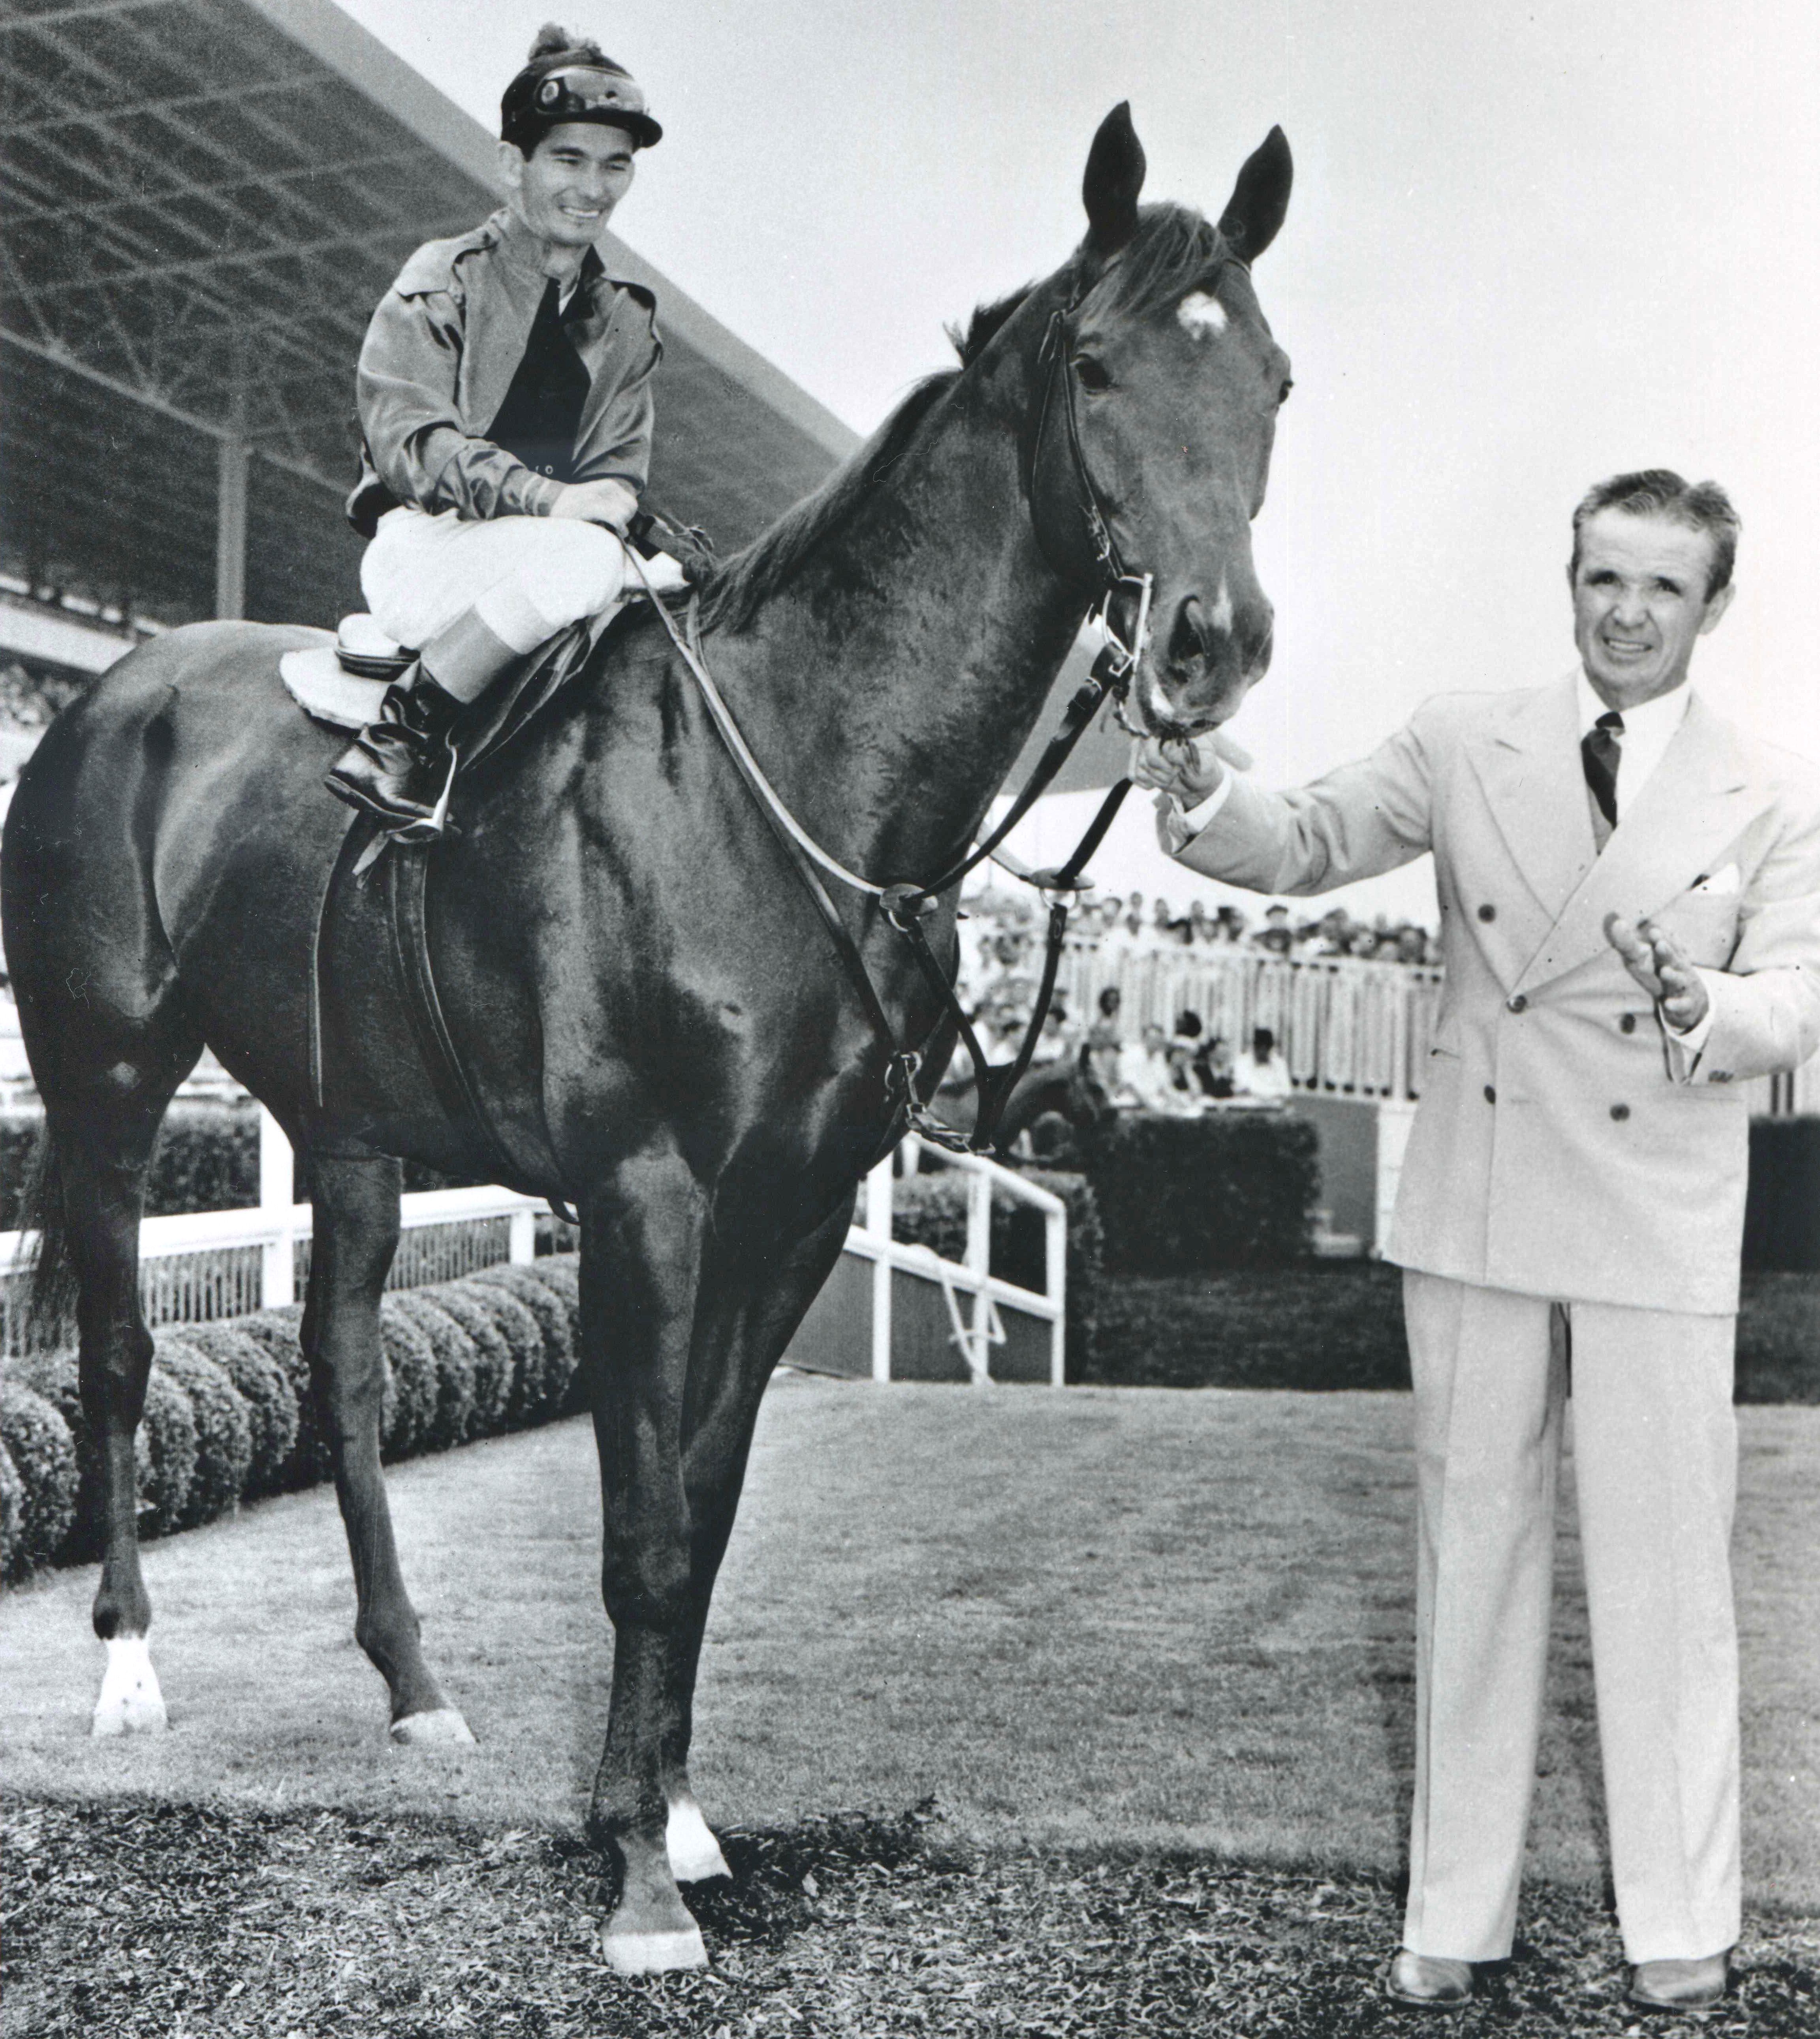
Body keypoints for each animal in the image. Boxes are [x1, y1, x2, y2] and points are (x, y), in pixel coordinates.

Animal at [0, 107, 1288, 1973]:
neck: (792, 770)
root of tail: (116, 689)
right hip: (104, 1087)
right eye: (1097, 360)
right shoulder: (648, 1200)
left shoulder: (793, 1208)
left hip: (349, 1125)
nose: (1211, 639)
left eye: (1270, 377)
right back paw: (127, 1670)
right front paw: (631, 1876)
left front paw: (674, 1817)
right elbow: (646, 1531)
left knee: (342, 1367)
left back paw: (414, 1687)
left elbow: (708, 1497)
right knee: (113, 1360)